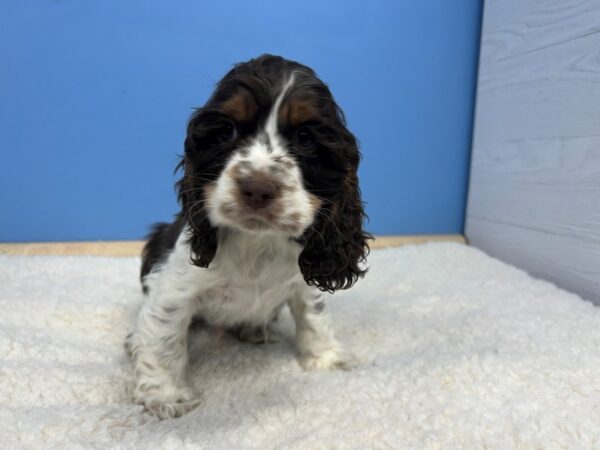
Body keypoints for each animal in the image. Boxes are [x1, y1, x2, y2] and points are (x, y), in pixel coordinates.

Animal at [125, 53, 370, 418]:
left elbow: (315, 316)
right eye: (227, 130)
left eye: (306, 138)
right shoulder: (173, 286)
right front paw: (166, 396)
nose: (257, 188)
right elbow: (165, 337)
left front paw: (326, 359)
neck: (258, 242)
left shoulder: (304, 281)